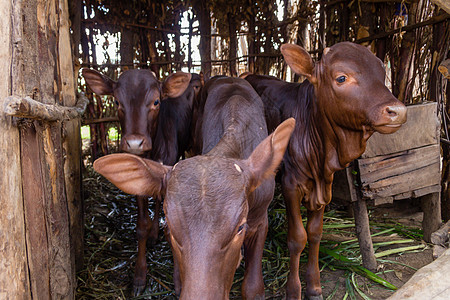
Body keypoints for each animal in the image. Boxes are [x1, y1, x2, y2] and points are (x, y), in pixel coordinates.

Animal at [81, 68, 200, 296]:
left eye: (156, 101)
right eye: (117, 101)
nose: (135, 142)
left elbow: (171, 228)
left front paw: (179, 281)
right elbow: (141, 226)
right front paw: (139, 276)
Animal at [244, 42, 410, 300]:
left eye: (382, 74)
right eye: (341, 77)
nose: (397, 110)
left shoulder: (325, 183)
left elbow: (314, 234)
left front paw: (314, 287)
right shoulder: (290, 184)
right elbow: (297, 238)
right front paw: (294, 290)